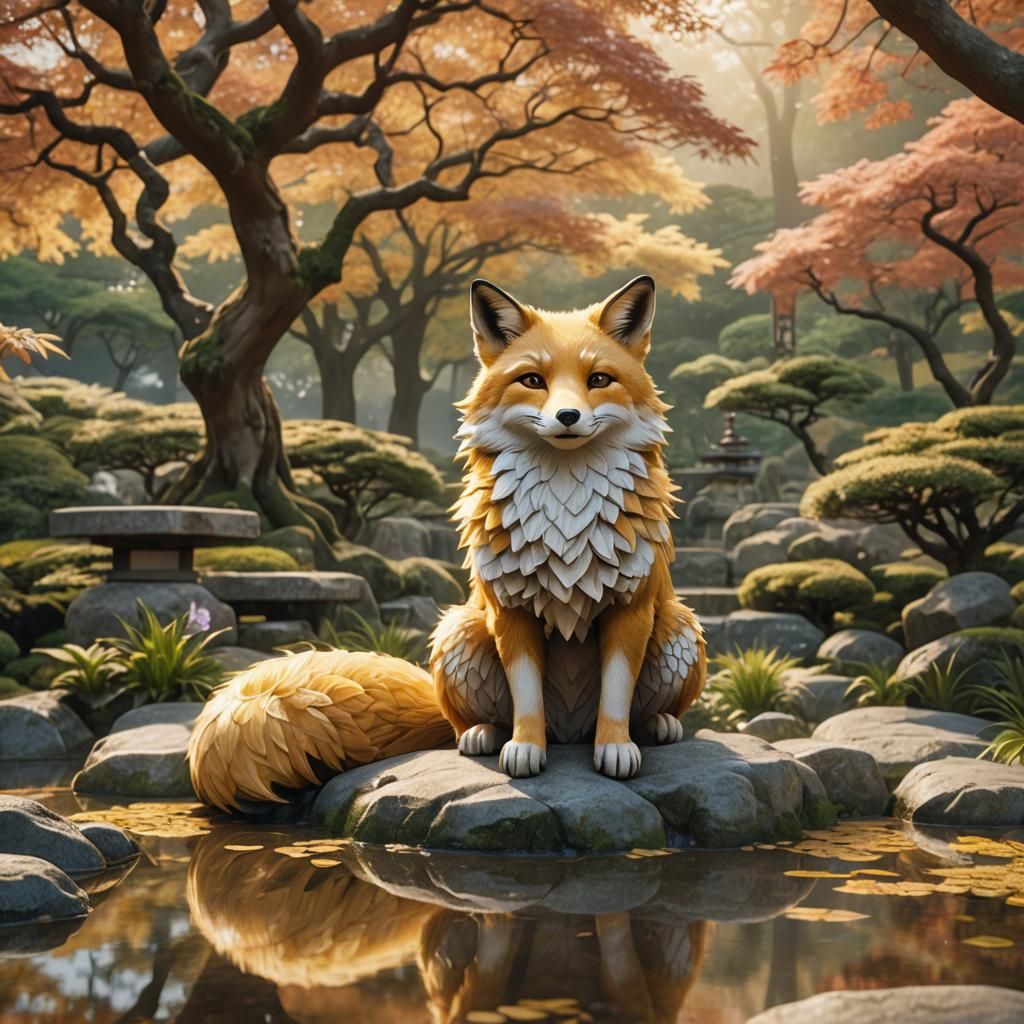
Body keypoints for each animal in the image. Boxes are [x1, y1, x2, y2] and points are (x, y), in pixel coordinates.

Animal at [188, 276, 706, 810]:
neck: (566, 510)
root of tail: (568, 732)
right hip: (459, 630)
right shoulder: (509, 610)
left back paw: (659, 726)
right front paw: (524, 747)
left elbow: (617, 693)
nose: (567, 416)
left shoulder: (632, 607)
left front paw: (616, 747)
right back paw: (483, 734)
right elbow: (526, 697)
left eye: (599, 379)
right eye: (533, 381)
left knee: (645, 706)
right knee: (465, 722)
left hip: (680, 627)